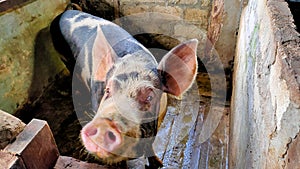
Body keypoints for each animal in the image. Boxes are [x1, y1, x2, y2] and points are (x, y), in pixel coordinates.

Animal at [55, 9, 198, 168]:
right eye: (108, 90)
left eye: (150, 97)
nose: (104, 124)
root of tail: (65, 11)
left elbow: (150, 145)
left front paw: (159, 163)